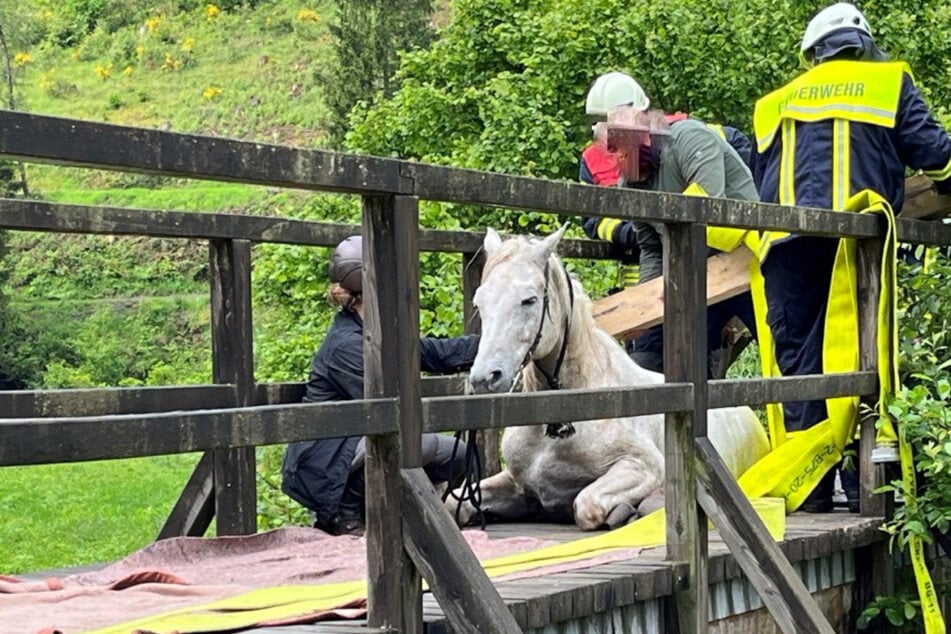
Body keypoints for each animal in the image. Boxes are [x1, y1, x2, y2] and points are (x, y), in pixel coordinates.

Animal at [450, 227, 768, 528]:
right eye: (480, 302)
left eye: (529, 300)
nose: (485, 378)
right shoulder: (517, 482)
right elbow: (460, 504)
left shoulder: (642, 466)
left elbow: (586, 505)